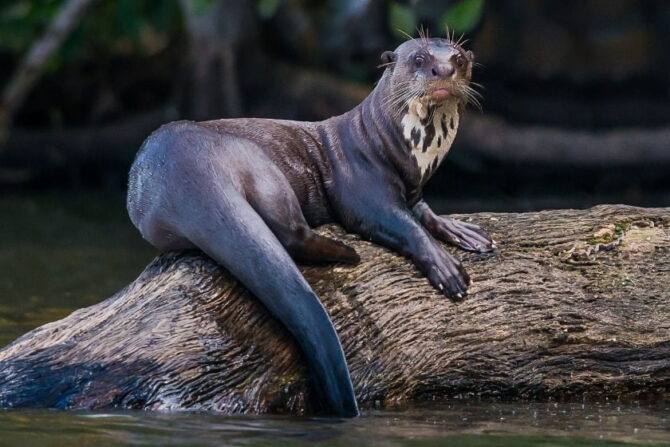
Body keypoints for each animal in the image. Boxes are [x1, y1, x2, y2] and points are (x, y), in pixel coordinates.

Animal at [127, 36, 494, 418]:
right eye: (419, 59)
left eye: (458, 59)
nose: (443, 70)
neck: (394, 147)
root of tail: (186, 171)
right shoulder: (362, 189)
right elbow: (401, 224)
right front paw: (445, 268)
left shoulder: (413, 189)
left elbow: (424, 212)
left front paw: (462, 231)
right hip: (259, 164)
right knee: (290, 232)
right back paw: (347, 253)